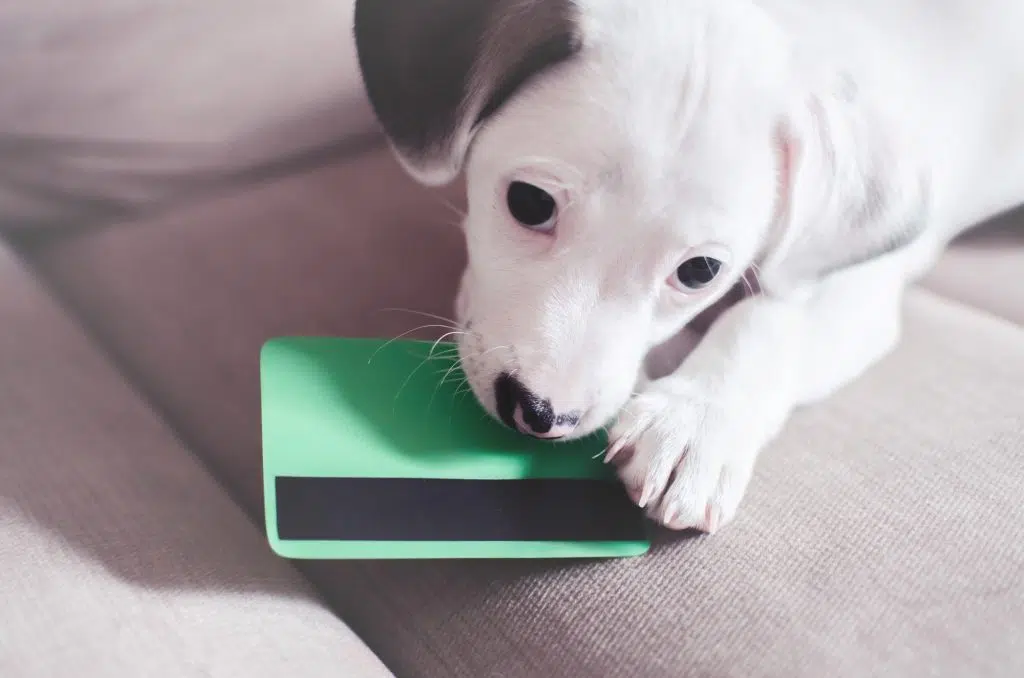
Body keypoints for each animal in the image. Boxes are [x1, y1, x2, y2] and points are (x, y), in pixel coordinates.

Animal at [350, 0, 1024, 532]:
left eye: (699, 272)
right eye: (530, 203)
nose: (540, 415)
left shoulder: (857, 283)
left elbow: (769, 317)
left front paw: (695, 420)